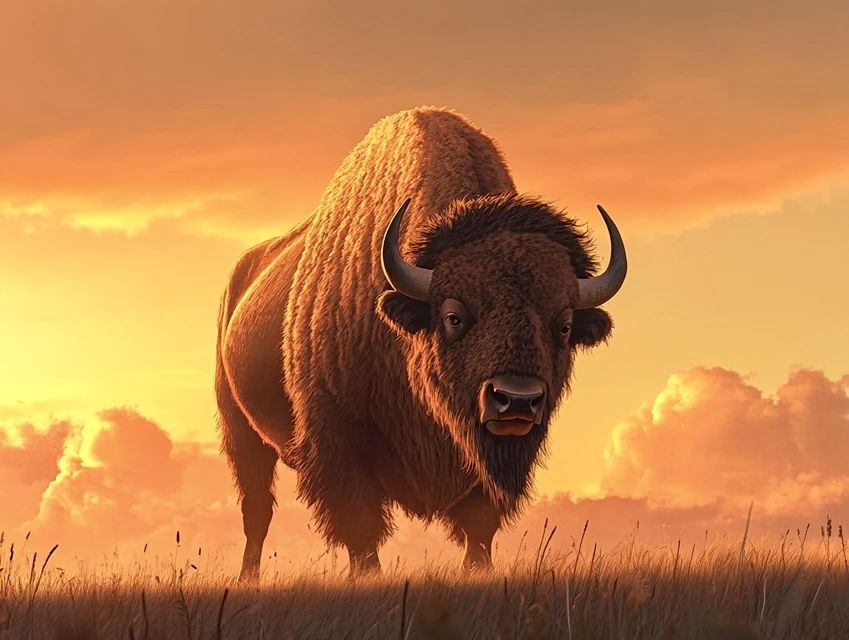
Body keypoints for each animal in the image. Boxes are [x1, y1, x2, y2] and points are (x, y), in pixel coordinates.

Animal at [216, 107, 627, 581]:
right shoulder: (336, 440)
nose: (517, 401)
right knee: (257, 508)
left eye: (563, 325)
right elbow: (360, 529)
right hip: (240, 431)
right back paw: (248, 577)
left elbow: (479, 527)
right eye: (453, 316)